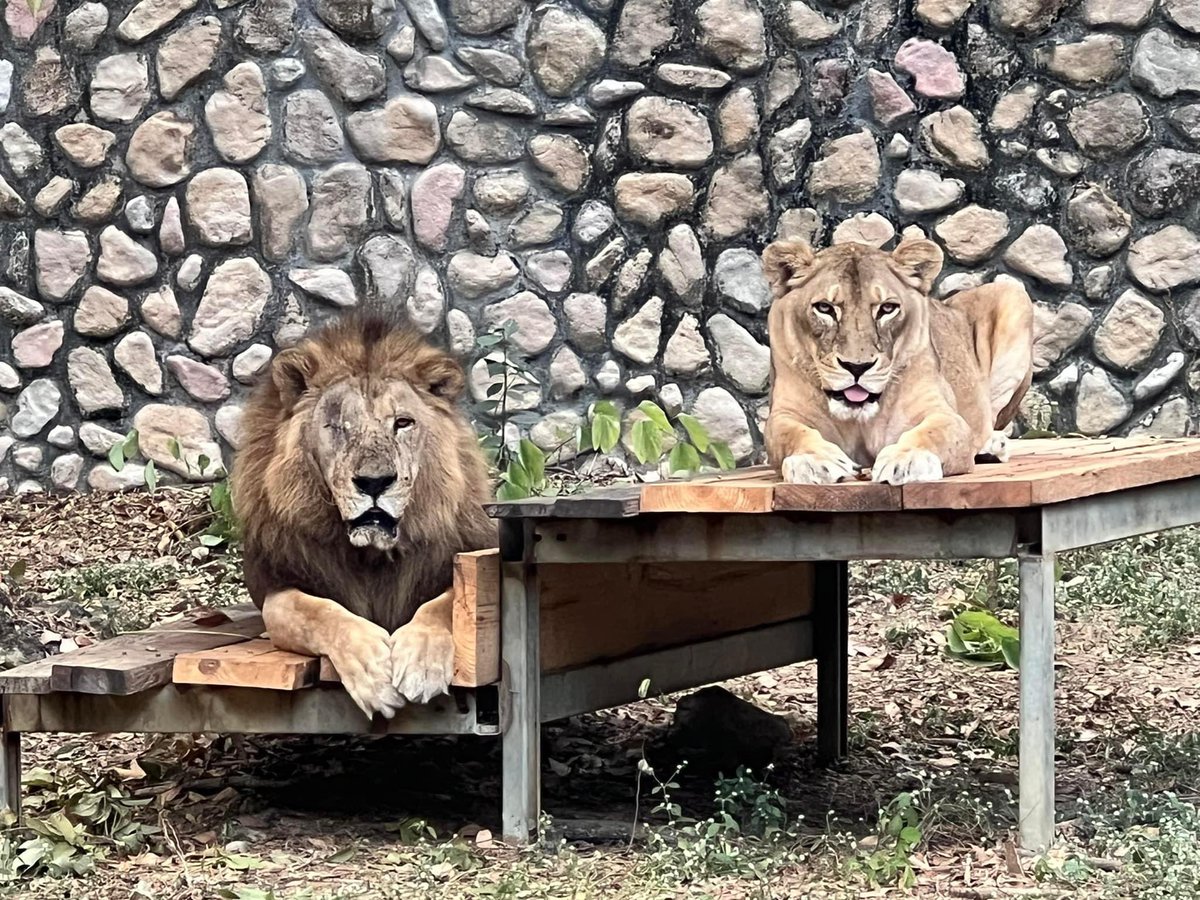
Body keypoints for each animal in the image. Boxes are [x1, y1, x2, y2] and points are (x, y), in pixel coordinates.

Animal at [231, 314, 494, 724]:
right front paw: (373, 672)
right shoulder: (273, 585)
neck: (371, 555)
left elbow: (447, 604)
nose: (374, 482)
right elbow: (311, 611)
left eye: (402, 423)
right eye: (339, 426)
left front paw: (420, 665)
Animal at [763, 240, 1036, 487]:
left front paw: (908, 460)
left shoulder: (943, 413)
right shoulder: (783, 414)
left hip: (1013, 295)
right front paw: (813, 461)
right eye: (824, 308)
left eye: (887, 308)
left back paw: (991, 446)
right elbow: (790, 434)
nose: (857, 367)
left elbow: (932, 432)